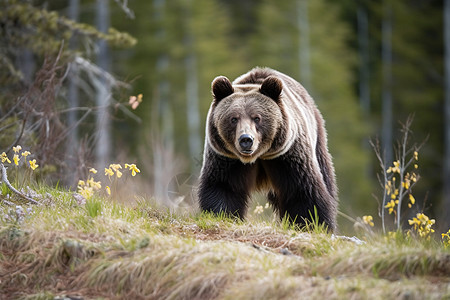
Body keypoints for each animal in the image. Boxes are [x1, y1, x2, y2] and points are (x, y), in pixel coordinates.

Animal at [197, 68, 338, 232]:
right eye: (233, 119)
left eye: (257, 118)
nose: (246, 139)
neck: (258, 156)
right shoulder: (226, 158)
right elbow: (223, 188)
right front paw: (223, 215)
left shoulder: (288, 156)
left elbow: (304, 191)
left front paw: (311, 224)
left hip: (317, 138)